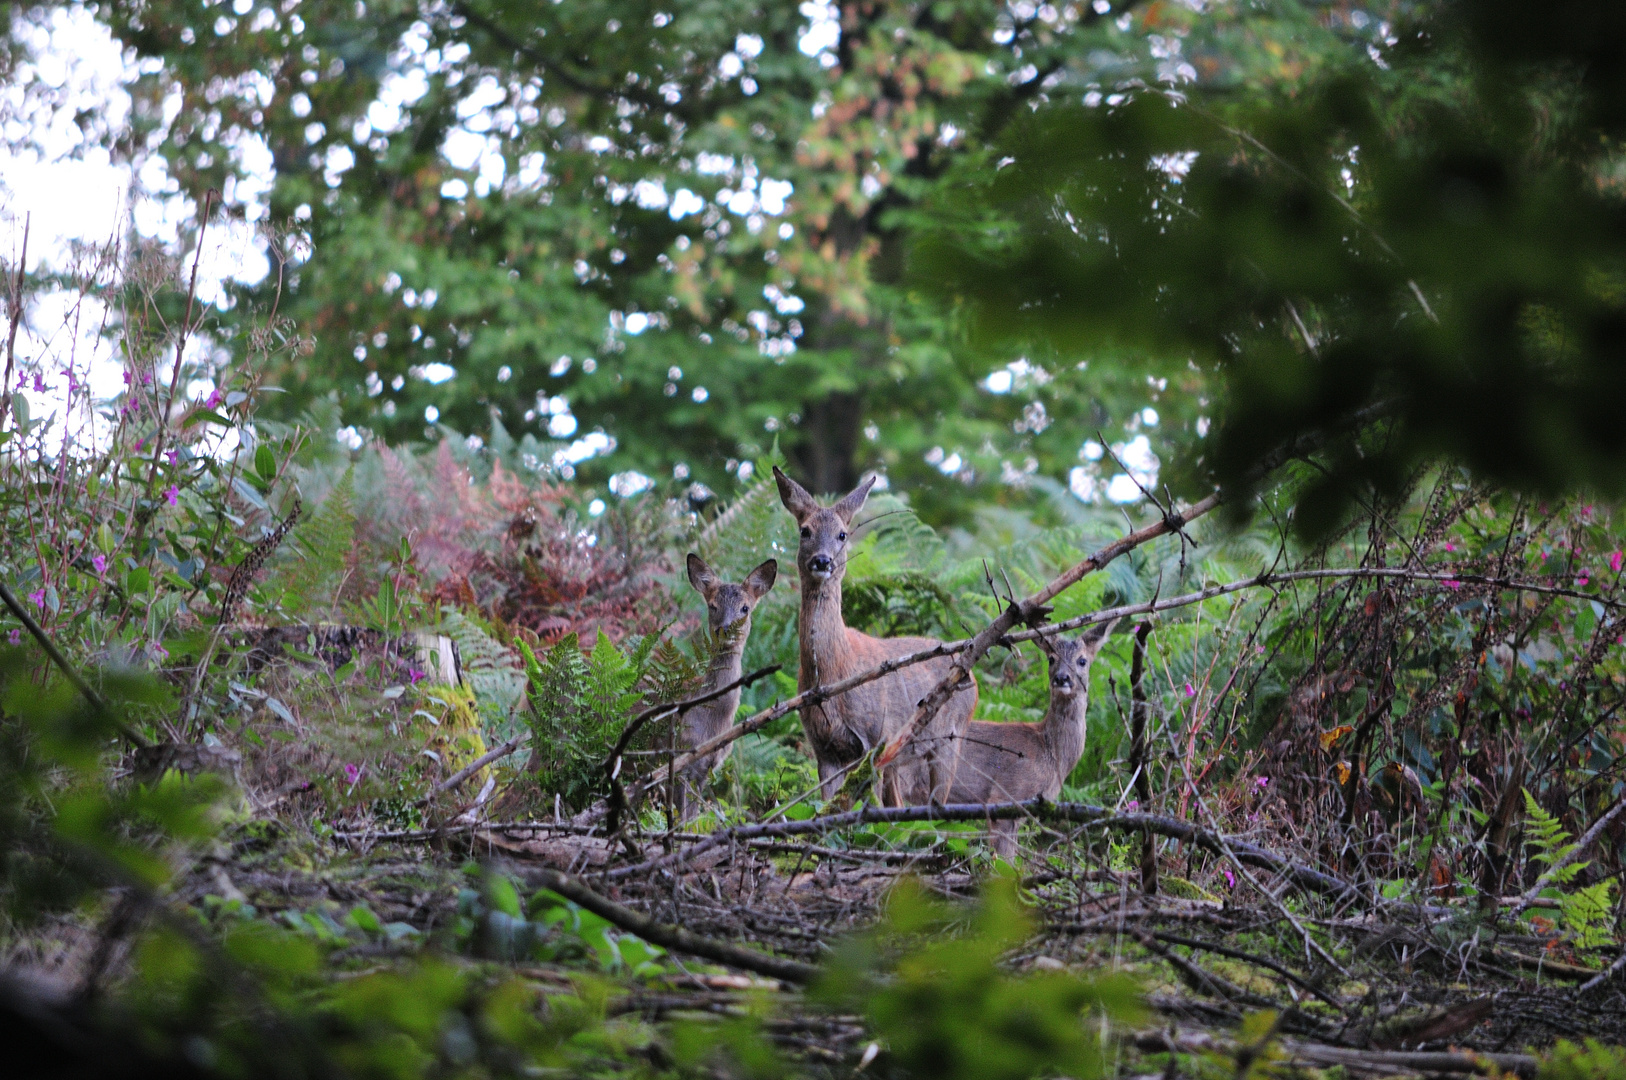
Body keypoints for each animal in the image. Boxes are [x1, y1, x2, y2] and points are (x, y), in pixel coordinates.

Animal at [673, 556, 773, 819]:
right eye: (712, 605)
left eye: (745, 608)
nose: (725, 628)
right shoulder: (678, 758)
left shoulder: (704, 769)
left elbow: (690, 819)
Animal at [773, 468, 975, 806]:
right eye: (805, 530)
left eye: (842, 534)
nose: (822, 561)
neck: (834, 672)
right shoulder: (824, 749)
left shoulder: (875, 739)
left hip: (950, 737)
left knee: (936, 804)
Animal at [943, 621, 1118, 858]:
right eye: (1051, 658)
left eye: (1082, 660)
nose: (1062, 678)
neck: (1050, 753)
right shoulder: (1007, 793)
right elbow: (1004, 861)